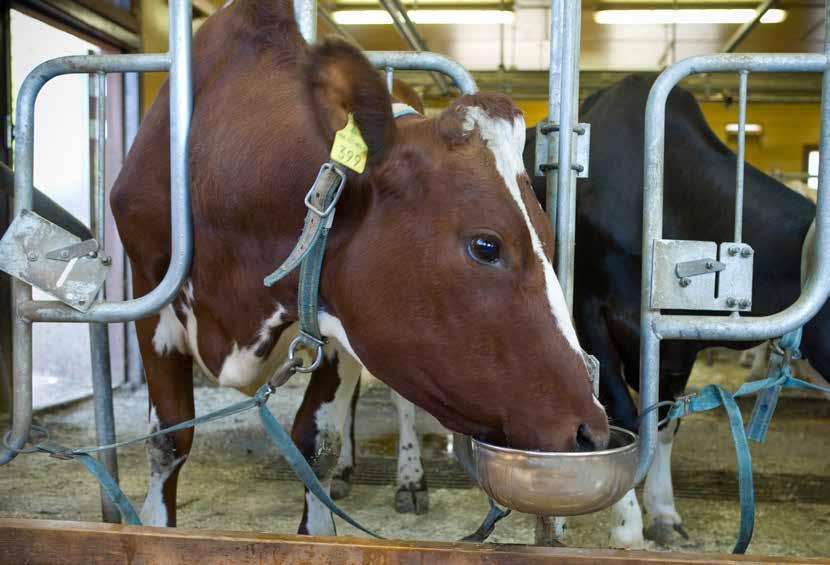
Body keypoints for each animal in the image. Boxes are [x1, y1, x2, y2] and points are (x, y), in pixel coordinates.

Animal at [112, 0, 612, 532]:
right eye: (486, 245)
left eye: (550, 237)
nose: (592, 431)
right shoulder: (149, 292)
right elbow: (168, 438)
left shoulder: (336, 321)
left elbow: (317, 445)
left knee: (400, 404)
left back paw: (409, 479)